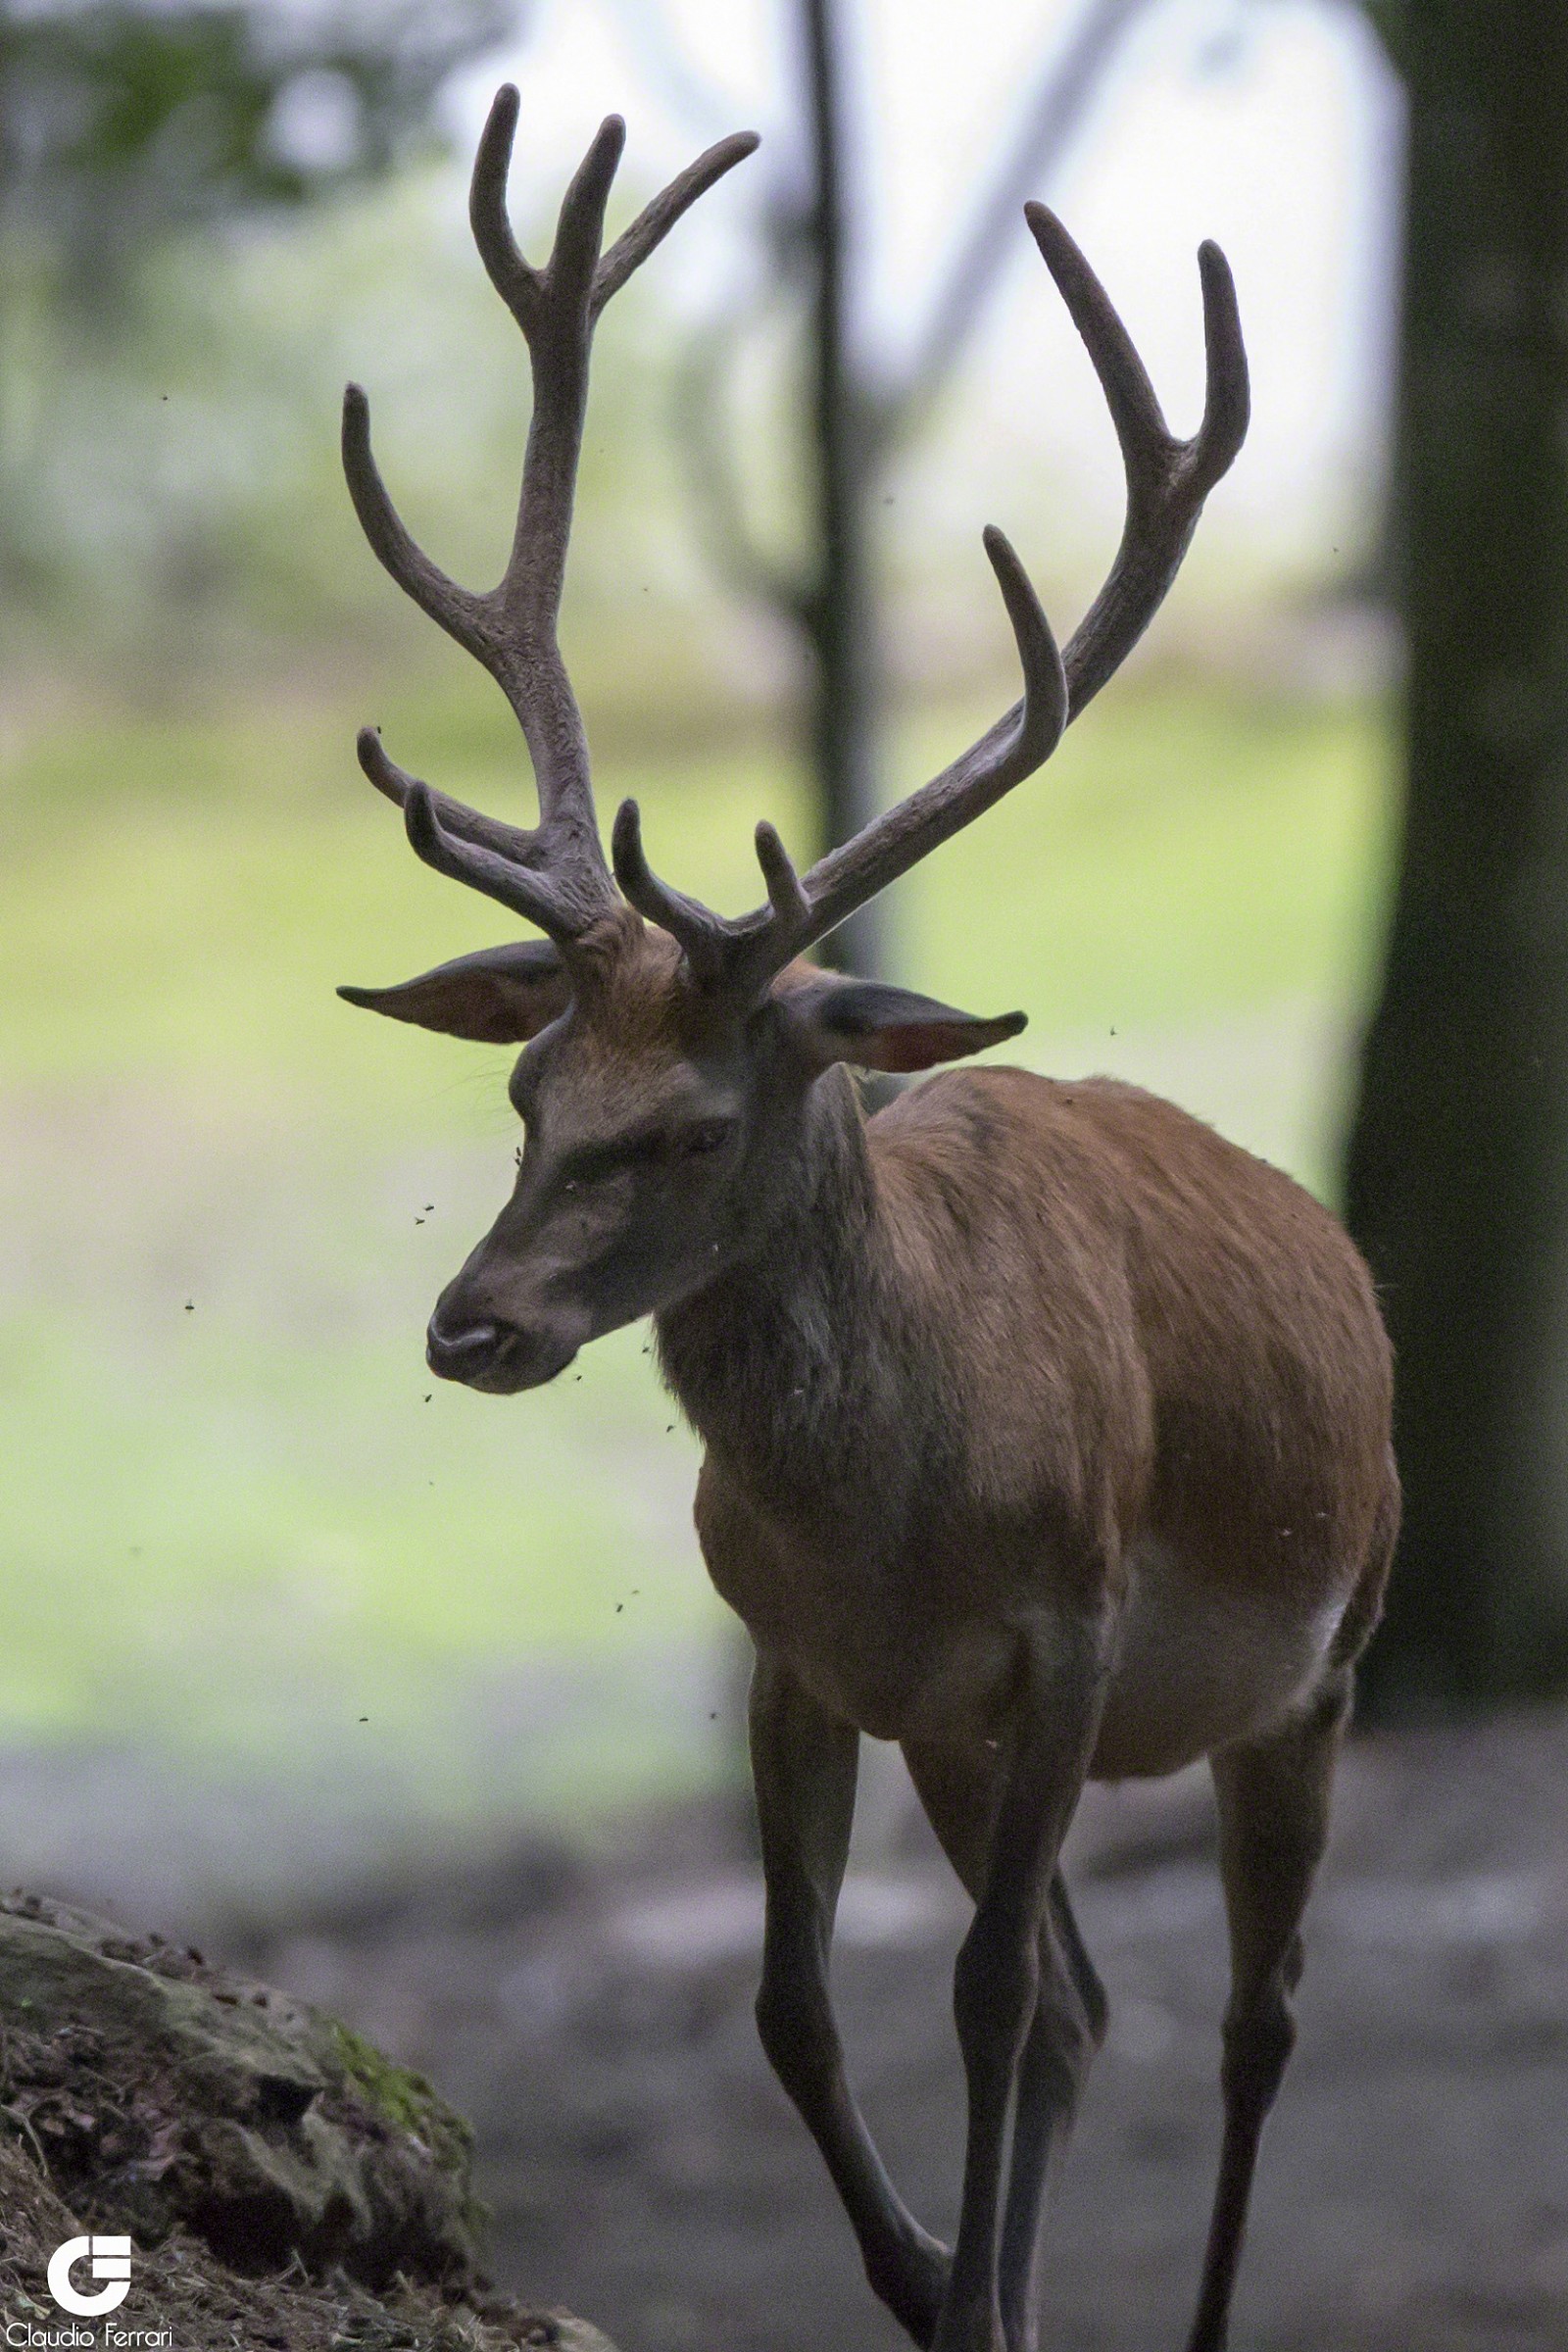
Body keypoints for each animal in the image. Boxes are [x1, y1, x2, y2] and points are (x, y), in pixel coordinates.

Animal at [336, 86, 1399, 2352]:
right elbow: (797, 2008)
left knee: (1251, 2018)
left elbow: (978, 1995)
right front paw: (930, 2282)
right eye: (527, 1091)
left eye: (698, 1124)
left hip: (1320, 1662)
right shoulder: (808, 1659)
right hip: (977, 1743)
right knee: (1097, 2005)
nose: (473, 1323)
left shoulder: (1071, 1625)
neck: (895, 1516)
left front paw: (961, 2277)